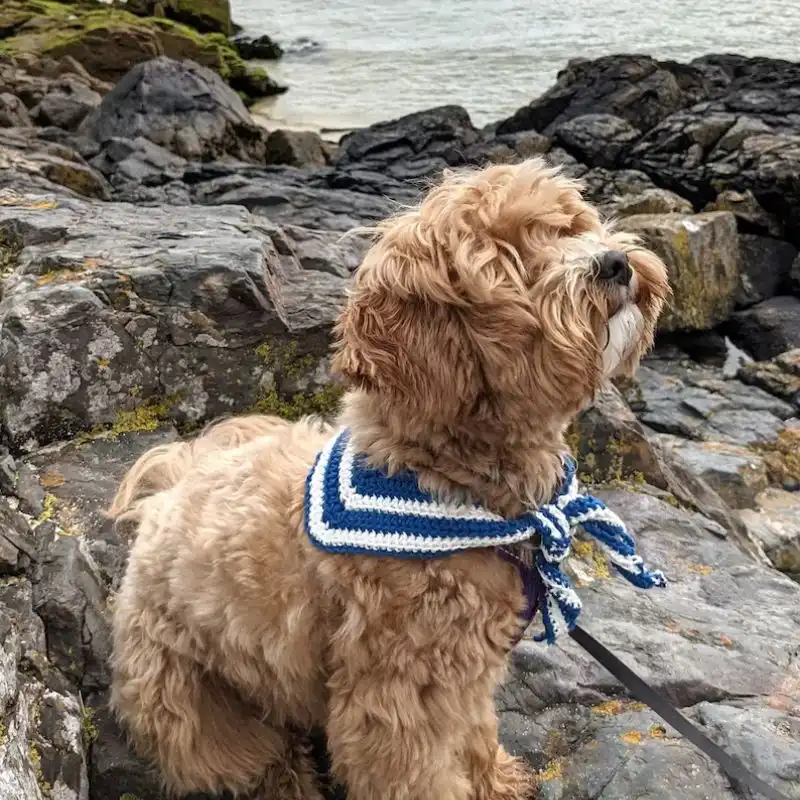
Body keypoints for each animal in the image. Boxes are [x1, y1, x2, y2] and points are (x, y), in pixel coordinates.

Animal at [106, 158, 668, 800]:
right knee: (244, 755)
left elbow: (475, 730)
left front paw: (494, 780)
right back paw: (287, 778)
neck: (446, 477)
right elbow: (418, 771)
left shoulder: (466, 670)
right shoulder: (403, 689)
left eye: (572, 225)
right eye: (510, 258)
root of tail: (170, 490)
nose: (615, 262)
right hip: (193, 704)